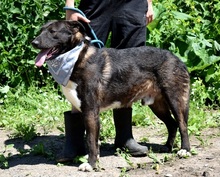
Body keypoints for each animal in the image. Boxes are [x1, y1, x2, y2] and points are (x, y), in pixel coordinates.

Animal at [32, 20, 191, 171]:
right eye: (41, 31)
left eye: (53, 31)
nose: (34, 43)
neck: (77, 57)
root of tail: (177, 59)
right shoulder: (84, 111)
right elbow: (91, 140)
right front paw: (92, 159)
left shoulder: (90, 111)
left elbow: (91, 140)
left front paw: (90, 164)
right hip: (157, 105)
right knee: (172, 124)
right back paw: (167, 147)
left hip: (175, 100)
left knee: (182, 124)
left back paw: (185, 150)